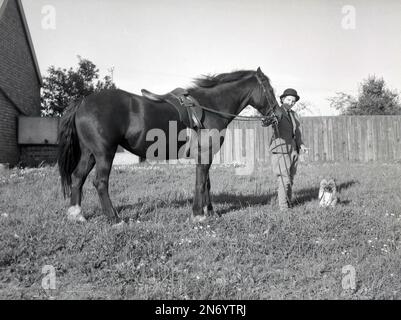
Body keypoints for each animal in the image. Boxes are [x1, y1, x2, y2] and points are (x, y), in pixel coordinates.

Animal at [57, 67, 278, 225]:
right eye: (269, 90)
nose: (277, 114)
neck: (211, 106)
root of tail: (82, 102)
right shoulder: (204, 154)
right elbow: (201, 182)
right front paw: (198, 214)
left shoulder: (205, 155)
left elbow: (206, 182)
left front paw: (210, 212)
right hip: (104, 154)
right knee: (100, 182)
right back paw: (114, 219)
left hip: (90, 154)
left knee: (77, 177)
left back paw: (76, 214)